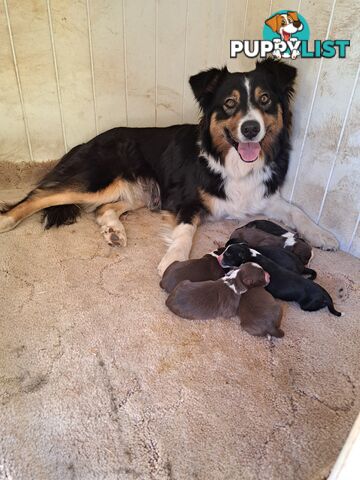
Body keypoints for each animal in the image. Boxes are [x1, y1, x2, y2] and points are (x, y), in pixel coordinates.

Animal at [0, 57, 338, 274]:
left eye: (265, 99)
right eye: (229, 104)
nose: (251, 128)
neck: (229, 159)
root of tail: (86, 141)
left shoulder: (262, 195)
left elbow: (296, 210)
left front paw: (322, 235)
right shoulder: (184, 200)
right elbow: (186, 231)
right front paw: (174, 258)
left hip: (141, 191)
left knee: (103, 209)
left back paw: (114, 231)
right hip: (96, 180)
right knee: (39, 195)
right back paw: (7, 220)